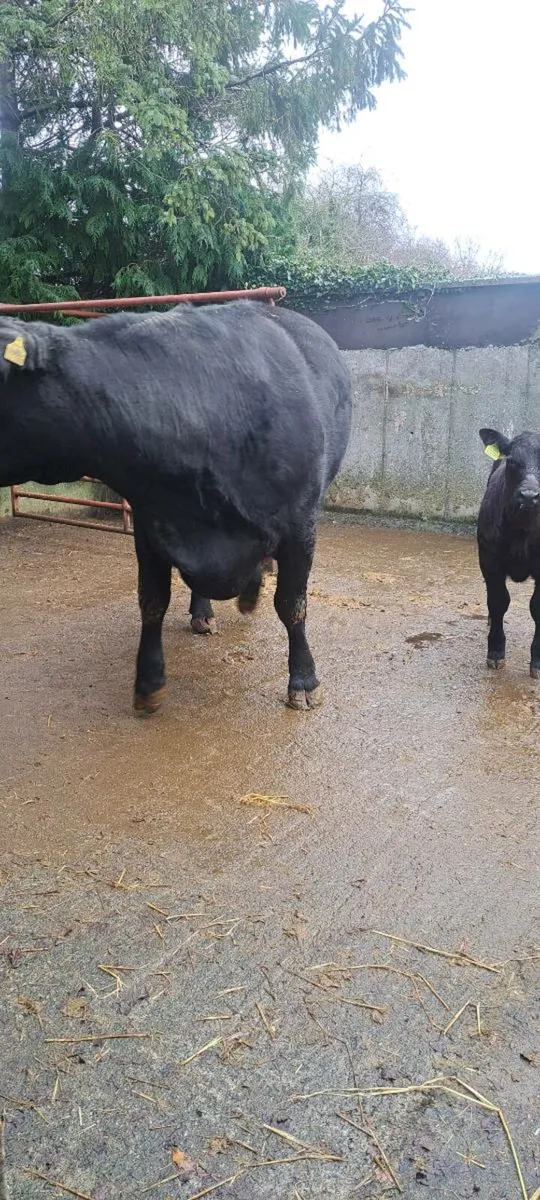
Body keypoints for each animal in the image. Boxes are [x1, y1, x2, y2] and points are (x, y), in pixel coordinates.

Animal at [0, 301, 352, 712]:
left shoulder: (300, 526)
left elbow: (292, 604)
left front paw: (304, 681)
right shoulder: (151, 523)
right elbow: (152, 600)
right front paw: (149, 683)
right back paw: (206, 612)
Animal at [477, 426, 540, 676]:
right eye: (512, 461)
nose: (529, 496)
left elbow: (536, 607)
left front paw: (537, 661)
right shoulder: (489, 559)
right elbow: (498, 601)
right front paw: (495, 652)